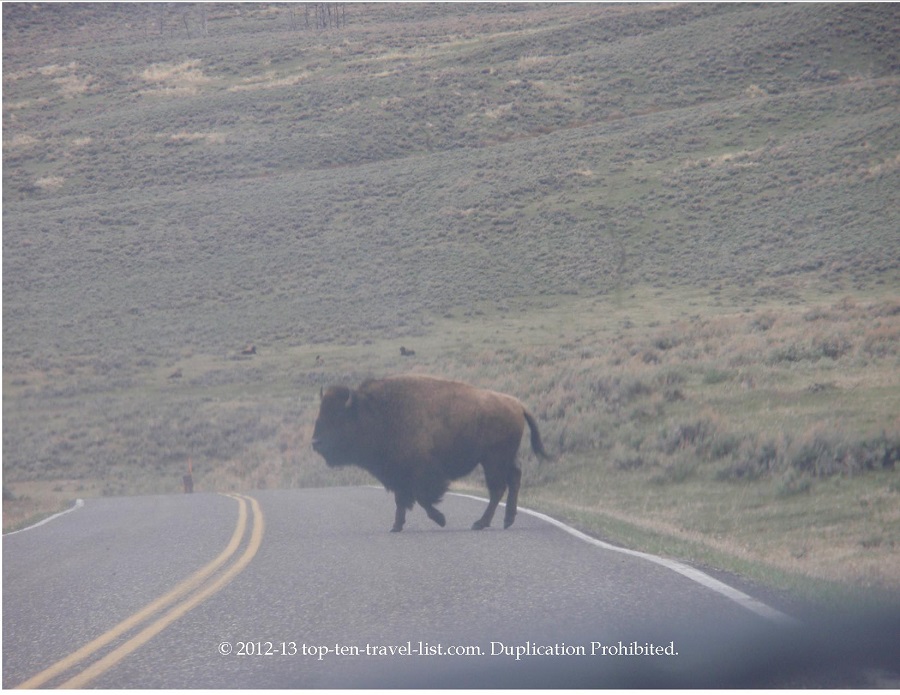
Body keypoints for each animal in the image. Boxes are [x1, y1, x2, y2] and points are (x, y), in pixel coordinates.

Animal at [312, 376, 552, 532]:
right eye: (321, 412)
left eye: (337, 417)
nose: (315, 442)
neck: (375, 413)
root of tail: (517, 404)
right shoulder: (398, 475)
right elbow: (402, 500)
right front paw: (396, 526)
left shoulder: (421, 474)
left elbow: (421, 499)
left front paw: (440, 519)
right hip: (502, 459)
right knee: (514, 479)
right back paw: (507, 520)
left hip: (493, 461)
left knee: (498, 488)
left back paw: (480, 523)